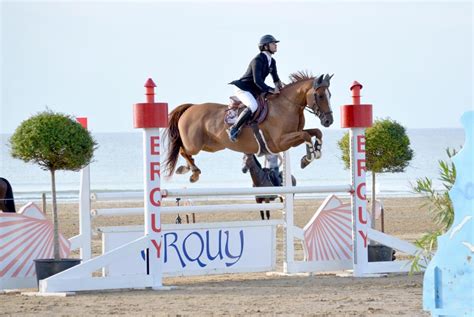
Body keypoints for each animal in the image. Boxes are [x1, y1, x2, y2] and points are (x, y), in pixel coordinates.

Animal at [165, 71, 332, 180]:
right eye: (320, 96)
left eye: (329, 95)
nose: (329, 121)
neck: (286, 106)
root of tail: (191, 107)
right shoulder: (280, 142)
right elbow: (306, 135)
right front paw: (308, 157)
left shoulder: (292, 137)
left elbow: (315, 132)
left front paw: (314, 152)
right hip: (194, 145)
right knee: (183, 150)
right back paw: (193, 171)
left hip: (212, 146)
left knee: (186, 152)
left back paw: (188, 169)